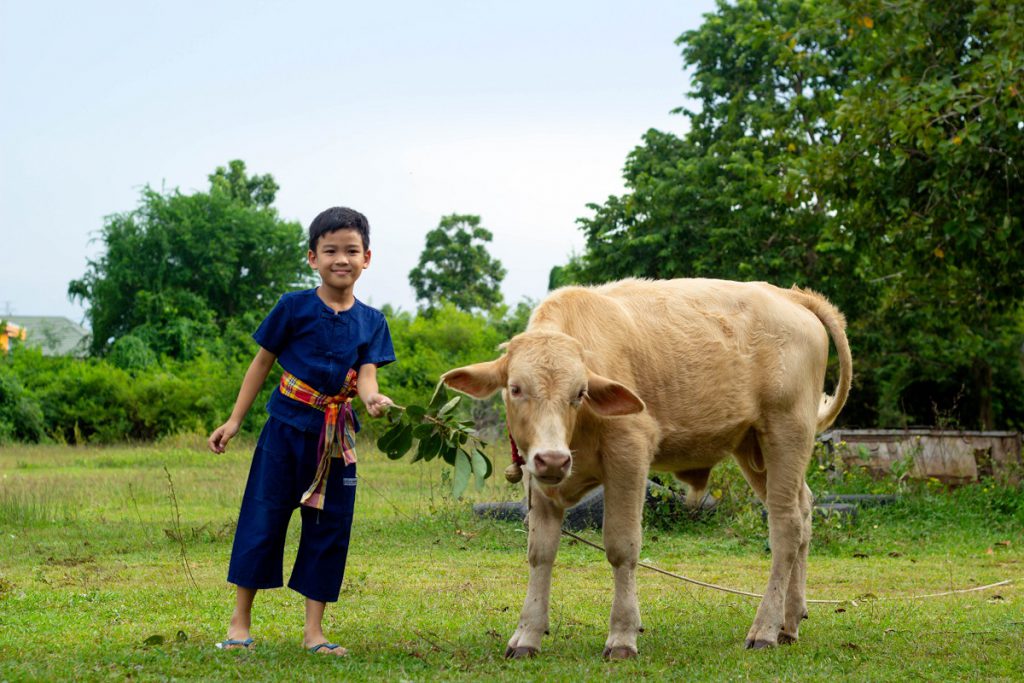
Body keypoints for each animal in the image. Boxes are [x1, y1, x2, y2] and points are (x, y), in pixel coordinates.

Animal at [444, 276, 851, 655]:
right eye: (515, 388)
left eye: (579, 393)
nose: (554, 458)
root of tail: (788, 295)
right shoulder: (538, 478)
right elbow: (540, 553)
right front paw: (528, 634)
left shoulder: (629, 455)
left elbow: (621, 547)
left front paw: (623, 635)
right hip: (754, 448)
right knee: (804, 512)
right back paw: (789, 621)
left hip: (787, 432)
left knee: (786, 528)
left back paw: (765, 628)